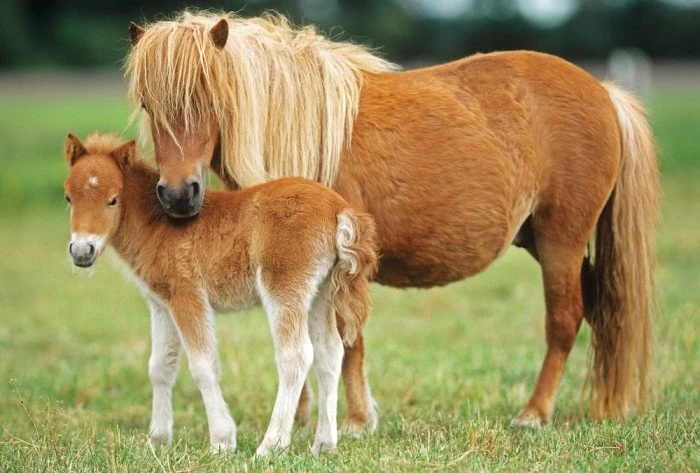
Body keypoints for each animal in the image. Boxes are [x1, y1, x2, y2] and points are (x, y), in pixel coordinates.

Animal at [63, 132, 378, 456]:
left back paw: (270, 446)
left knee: (296, 356)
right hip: (320, 293)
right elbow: (160, 367)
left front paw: (222, 440)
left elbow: (203, 366)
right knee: (330, 353)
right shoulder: (161, 304)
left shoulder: (187, 296)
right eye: (68, 198)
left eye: (113, 199)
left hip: (283, 287)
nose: (82, 251)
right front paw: (157, 439)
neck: (157, 224)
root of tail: (339, 209)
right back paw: (324, 445)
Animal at [125, 11, 659, 428]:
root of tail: (604, 92)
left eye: (209, 98)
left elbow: (347, 342)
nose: (178, 195)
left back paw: (534, 413)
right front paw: (302, 417)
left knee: (564, 320)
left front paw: (356, 421)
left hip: (559, 244)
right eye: (149, 104)